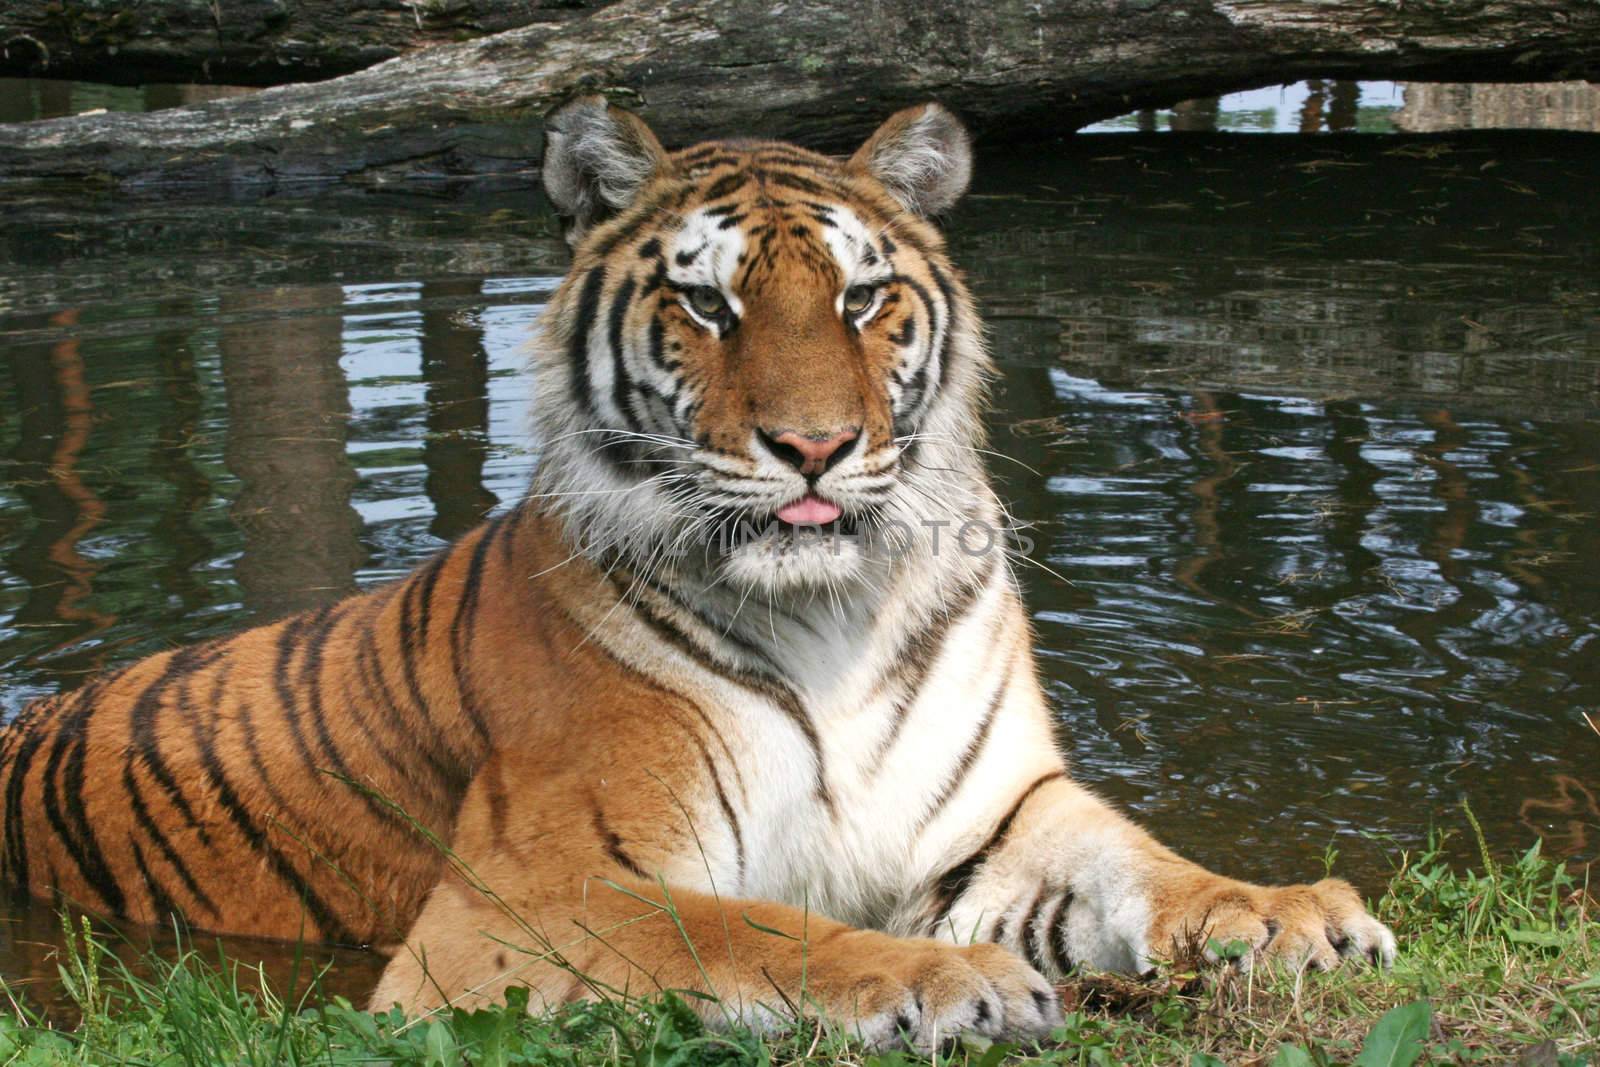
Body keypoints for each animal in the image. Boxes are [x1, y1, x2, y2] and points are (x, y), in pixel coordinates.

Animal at [0, 95, 1395, 1049]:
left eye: (862, 298)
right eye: (710, 306)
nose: (815, 445)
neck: (833, 609)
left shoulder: (996, 820)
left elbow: (1144, 862)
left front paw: (1288, 913)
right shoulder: (512, 903)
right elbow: (748, 923)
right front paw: (952, 981)